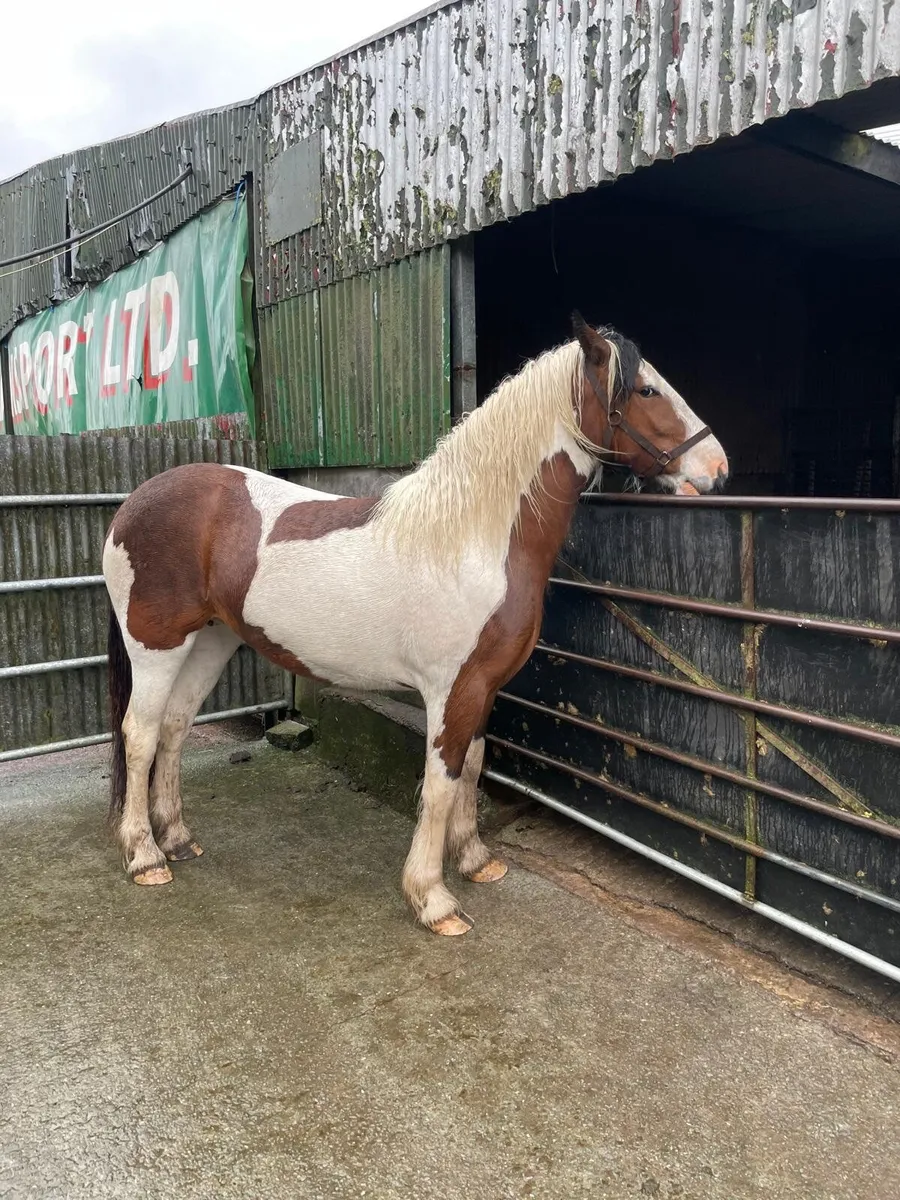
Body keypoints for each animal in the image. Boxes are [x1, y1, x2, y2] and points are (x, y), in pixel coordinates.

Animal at [103, 314, 727, 936]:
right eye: (645, 390)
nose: (718, 468)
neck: (474, 538)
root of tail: (132, 504)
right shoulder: (452, 691)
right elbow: (442, 782)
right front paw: (432, 898)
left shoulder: (483, 688)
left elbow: (472, 767)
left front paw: (474, 861)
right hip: (157, 647)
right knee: (141, 734)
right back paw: (145, 856)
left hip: (212, 639)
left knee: (175, 727)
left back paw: (177, 838)